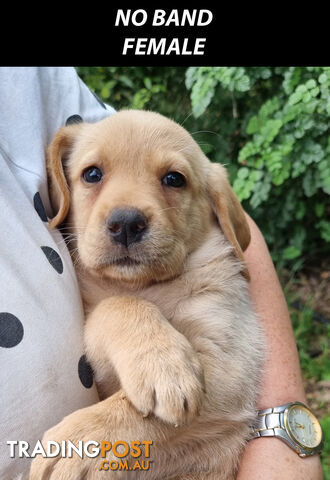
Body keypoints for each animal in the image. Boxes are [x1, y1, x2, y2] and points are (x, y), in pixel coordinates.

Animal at [29, 109, 264, 480]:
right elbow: (114, 306)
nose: (126, 223)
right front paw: (161, 360)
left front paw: (74, 443)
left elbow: (134, 413)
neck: (146, 287)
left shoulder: (229, 363)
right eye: (92, 174)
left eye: (174, 179)